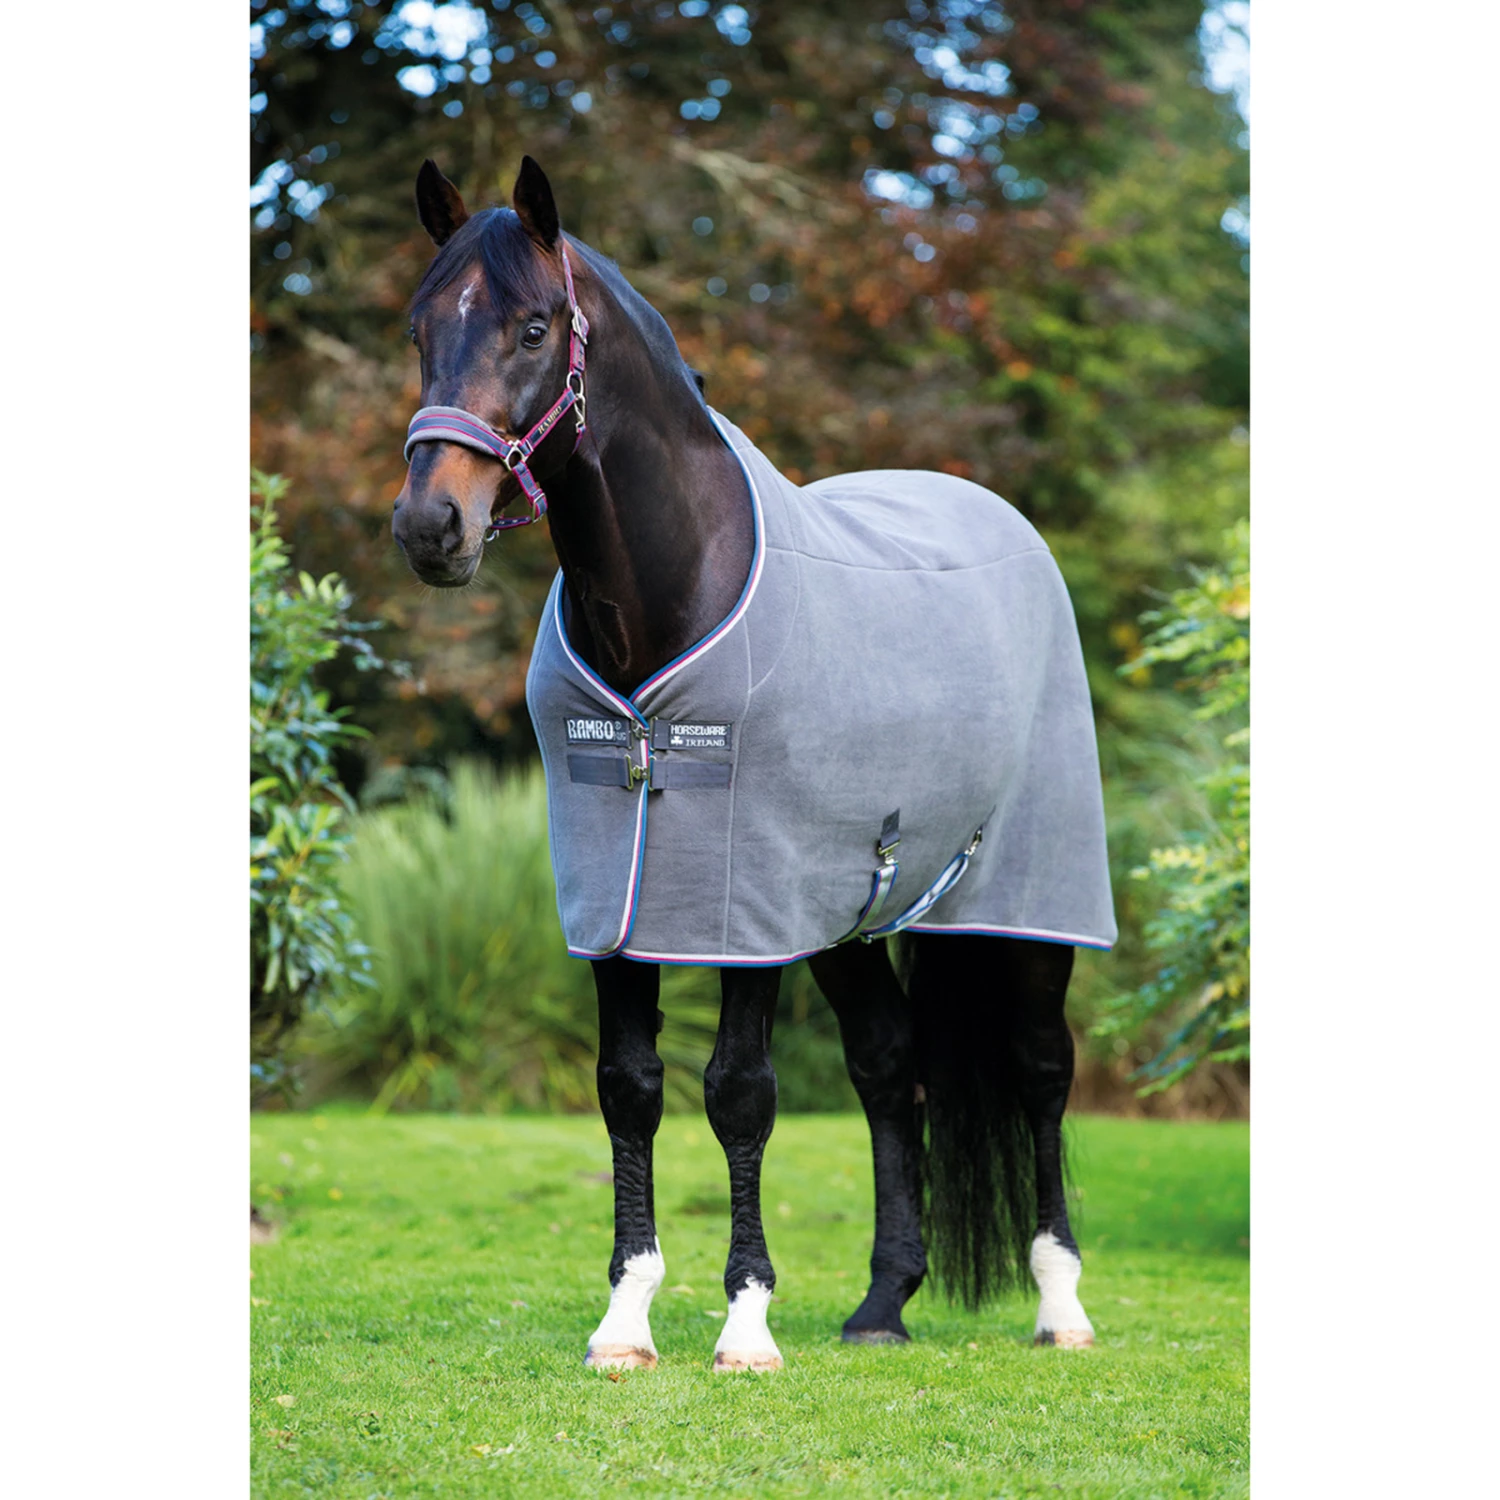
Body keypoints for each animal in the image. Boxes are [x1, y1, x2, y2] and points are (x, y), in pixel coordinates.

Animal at [391, 156, 1113, 1371]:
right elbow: (628, 1089)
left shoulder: (744, 900)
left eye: (534, 328)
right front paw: (626, 1320)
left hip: (1022, 896)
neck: (668, 601)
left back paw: (1061, 1306)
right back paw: (881, 1305)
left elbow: (738, 1093)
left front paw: (745, 1322)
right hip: (846, 915)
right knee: (888, 1065)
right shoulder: (619, 896)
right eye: (417, 331)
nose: (430, 525)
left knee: (1038, 1066)